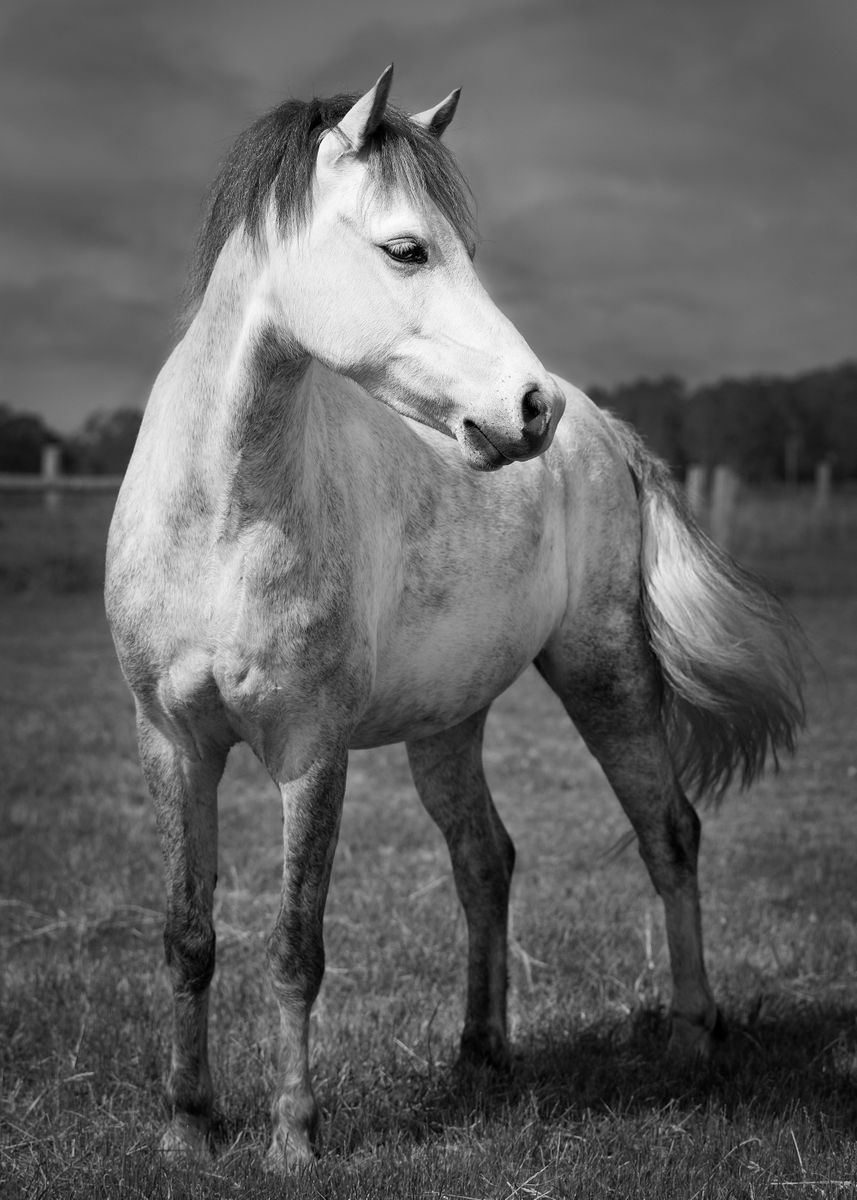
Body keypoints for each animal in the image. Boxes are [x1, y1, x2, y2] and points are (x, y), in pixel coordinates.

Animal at [105, 68, 801, 1171]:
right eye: (406, 249)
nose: (528, 409)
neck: (219, 517)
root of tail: (606, 433)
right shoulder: (172, 743)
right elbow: (188, 933)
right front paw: (185, 1126)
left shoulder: (309, 750)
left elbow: (295, 943)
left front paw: (292, 1137)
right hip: (448, 723)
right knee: (485, 860)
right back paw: (480, 1054)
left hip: (603, 673)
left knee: (666, 832)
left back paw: (694, 1035)